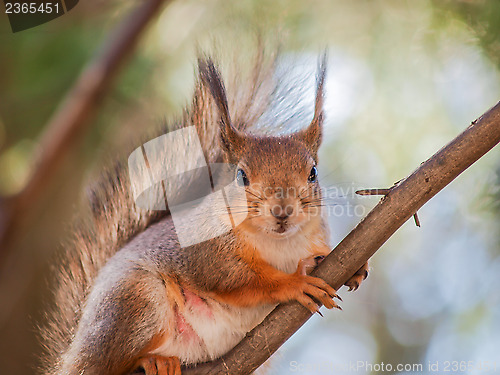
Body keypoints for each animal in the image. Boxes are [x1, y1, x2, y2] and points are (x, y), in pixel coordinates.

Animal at [40, 52, 368, 375]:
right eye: (241, 176)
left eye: (313, 173)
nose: (282, 211)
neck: (280, 242)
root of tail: (72, 355)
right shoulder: (206, 253)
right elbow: (239, 280)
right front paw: (293, 283)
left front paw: (351, 267)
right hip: (135, 300)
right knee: (107, 363)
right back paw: (152, 360)